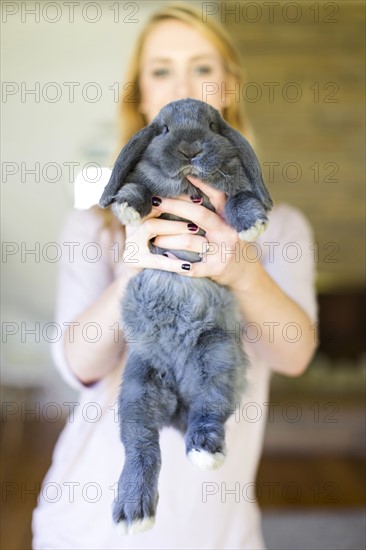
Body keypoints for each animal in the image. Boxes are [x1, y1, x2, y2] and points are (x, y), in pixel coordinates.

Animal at [98, 98, 272, 536]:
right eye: (161, 130)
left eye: (212, 126)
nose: (190, 149)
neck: (189, 184)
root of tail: (176, 394)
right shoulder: (150, 187)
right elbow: (141, 189)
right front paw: (127, 205)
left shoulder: (233, 189)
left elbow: (242, 196)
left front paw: (253, 224)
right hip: (138, 388)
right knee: (141, 448)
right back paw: (134, 513)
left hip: (216, 358)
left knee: (208, 414)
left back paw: (204, 453)